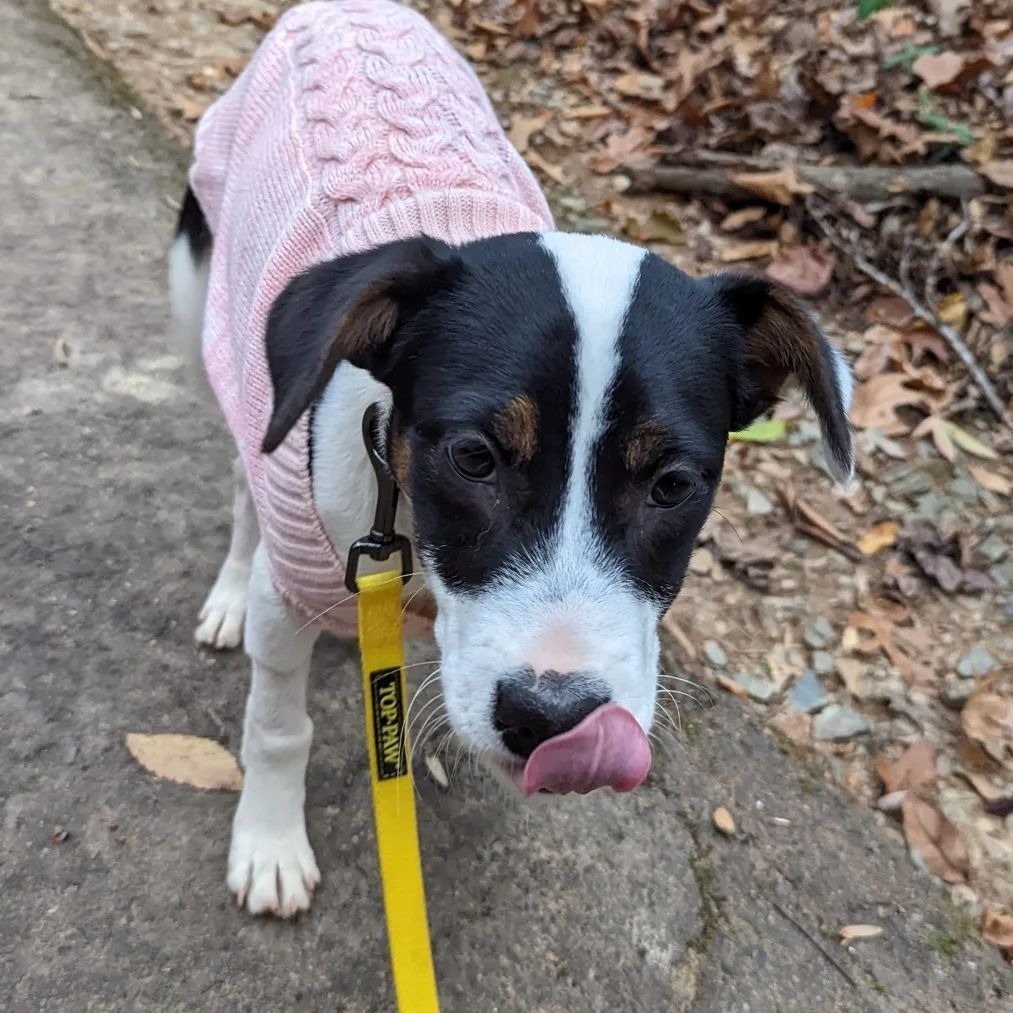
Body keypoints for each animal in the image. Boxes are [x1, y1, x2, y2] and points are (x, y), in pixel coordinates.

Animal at [170, 0, 850, 919]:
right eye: (473, 457)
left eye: (672, 484)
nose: (551, 719)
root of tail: (337, 8)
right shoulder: (297, 582)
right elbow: (278, 726)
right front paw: (270, 841)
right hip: (209, 307)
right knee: (247, 462)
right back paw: (233, 589)